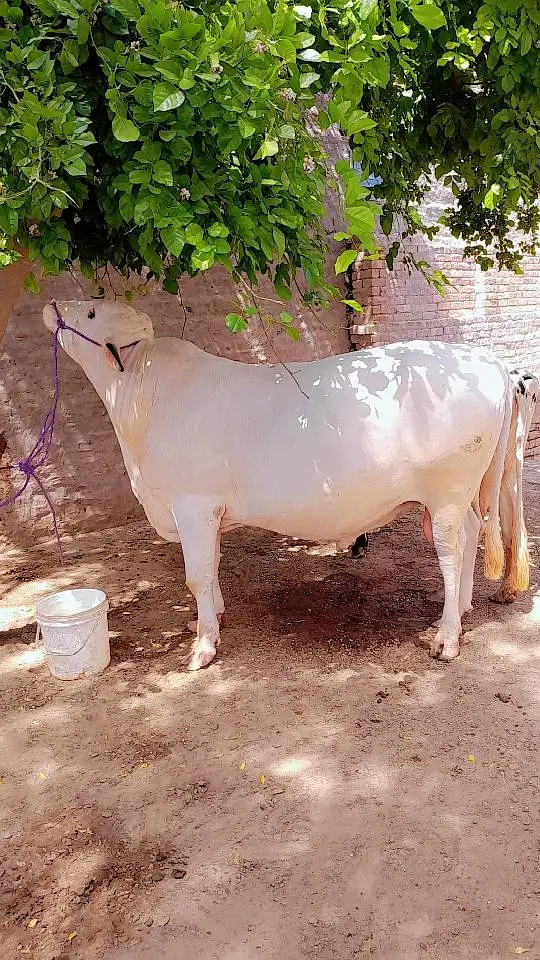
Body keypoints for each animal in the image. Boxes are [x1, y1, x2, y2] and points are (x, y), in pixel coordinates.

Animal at [43, 300, 537, 671]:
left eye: (91, 311)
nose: (53, 305)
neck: (143, 398)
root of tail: (487, 360)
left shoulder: (192, 503)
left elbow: (196, 573)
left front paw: (203, 647)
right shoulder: (209, 511)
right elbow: (212, 567)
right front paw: (213, 618)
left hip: (447, 490)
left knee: (453, 550)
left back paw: (447, 637)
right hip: (458, 494)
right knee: (472, 533)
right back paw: (460, 610)